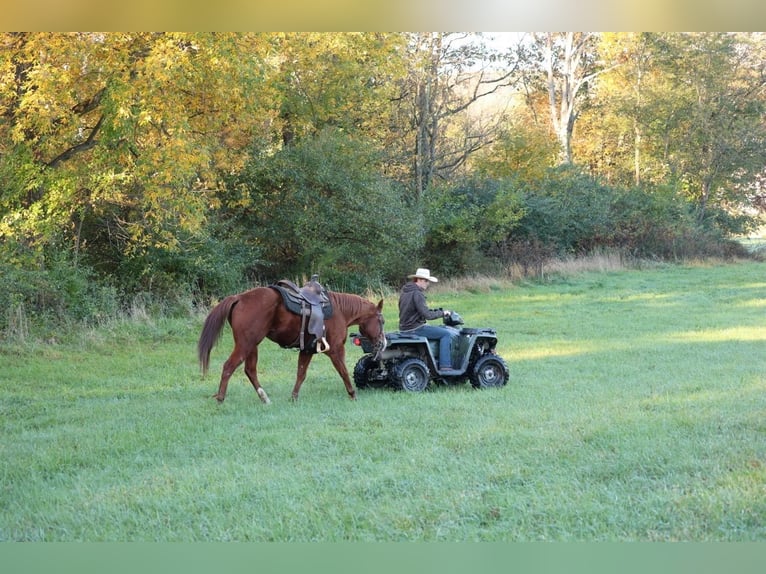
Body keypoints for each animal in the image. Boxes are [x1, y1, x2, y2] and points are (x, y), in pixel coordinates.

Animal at [197, 286, 386, 403]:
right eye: (381, 321)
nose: (383, 343)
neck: (339, 311)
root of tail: (239, 298)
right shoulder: (336, 350)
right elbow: (344, 372)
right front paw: (353, 394)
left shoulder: (307, 350)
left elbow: (301, 374)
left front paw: (293, 397)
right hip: (245, 345)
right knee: (229, 366)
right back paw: (220, 398)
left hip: (252, 346)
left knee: (250, 370)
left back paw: (264, 398)